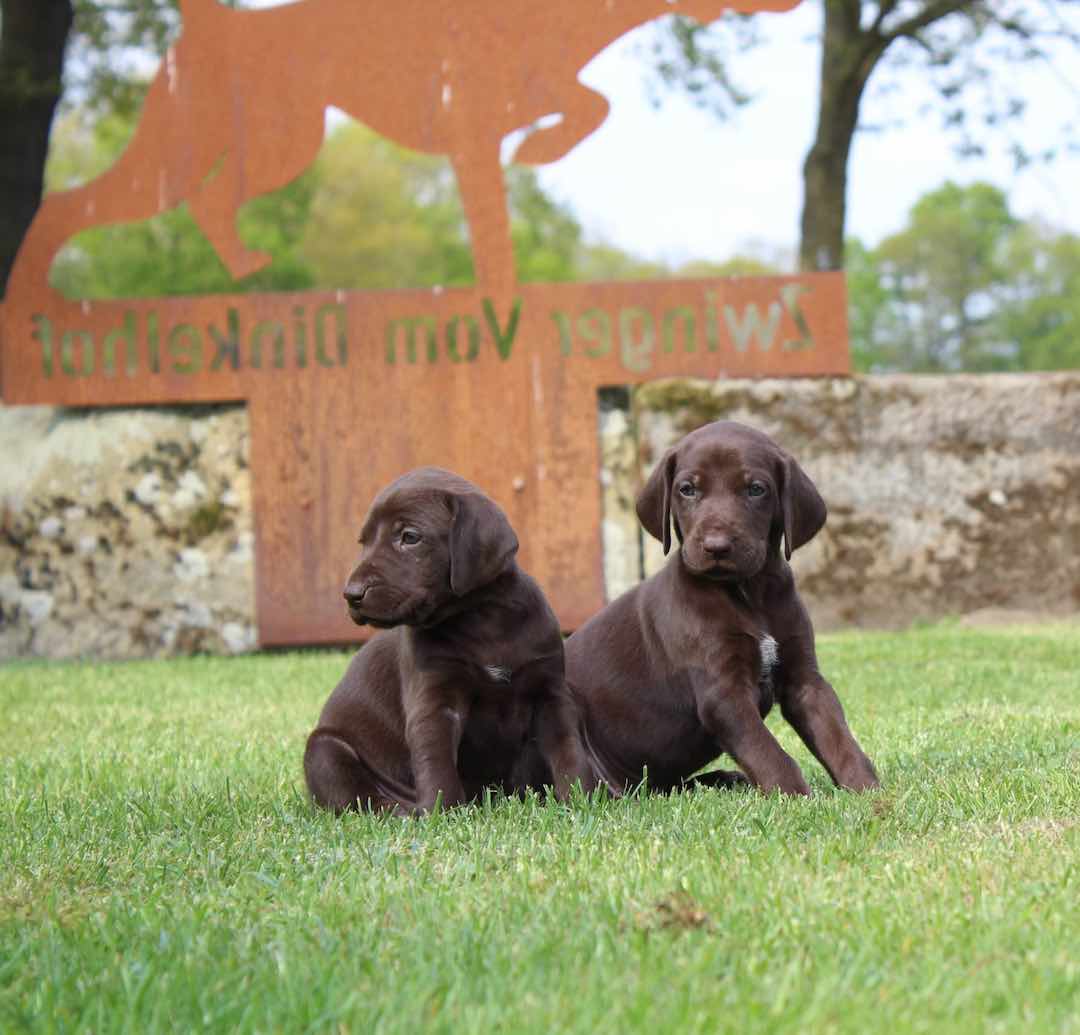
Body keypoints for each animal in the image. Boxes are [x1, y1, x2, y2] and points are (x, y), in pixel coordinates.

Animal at [304, 466, 596, 812]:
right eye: (364, 542)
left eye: (409, 537)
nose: (351, 594)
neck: (482, 619)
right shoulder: (435, 701)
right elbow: (436, 762)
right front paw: (441, 812)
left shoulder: (549, 692)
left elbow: (568, 749)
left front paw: (582, 798)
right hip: (324, 750)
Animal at [565, 417, 876, 799]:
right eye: (687, 489)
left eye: (755, 489)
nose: (716, 546)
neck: (750, 593)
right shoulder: (723, 693)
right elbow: (770, 753)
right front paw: (796, 798)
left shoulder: (805, 680)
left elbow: (838, 738)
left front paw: (868, 791)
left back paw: (723, 779)